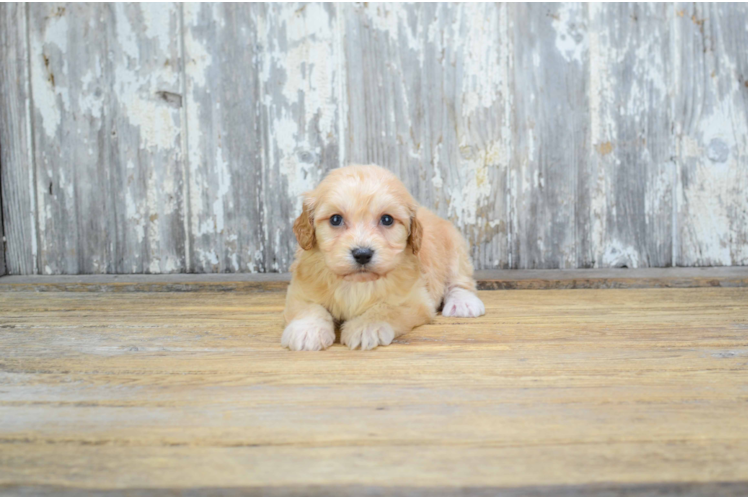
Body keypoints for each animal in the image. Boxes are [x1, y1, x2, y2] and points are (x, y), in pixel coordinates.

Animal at [280, 165, 486, 352]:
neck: (357, 284)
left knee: (460, 281)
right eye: (335, 219)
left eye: (387, 219)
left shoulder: (414, 299)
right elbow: (308, 307)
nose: (362, 254)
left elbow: (386, 309)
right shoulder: (301, 287)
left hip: (455, 249)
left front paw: (365, 327)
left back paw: (463, 303)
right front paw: (307, 330)